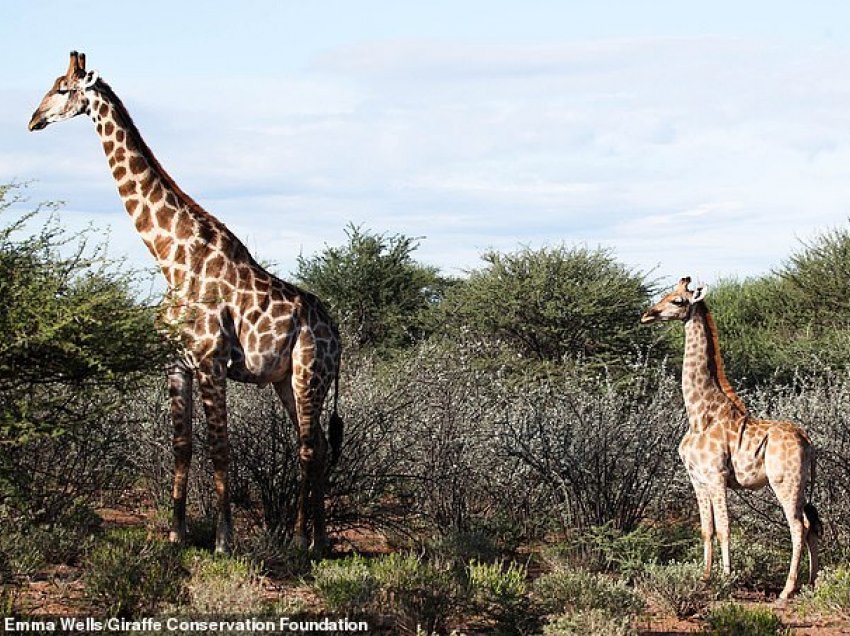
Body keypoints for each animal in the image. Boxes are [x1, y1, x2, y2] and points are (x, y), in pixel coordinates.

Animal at [29, 52, 342, 556]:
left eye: (61, 89)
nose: (33, 120)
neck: (170, 259)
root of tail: (338, 333)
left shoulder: (211, 362)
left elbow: (220, 448)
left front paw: (223, 540)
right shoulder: (176, 363)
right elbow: (182, 445)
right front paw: (176, 533)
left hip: (309, 373)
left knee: (309, 447)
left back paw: (300, 539)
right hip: (285, 380)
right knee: (314, 446)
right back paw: (319, 540)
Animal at [644, 276, 816, 600]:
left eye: (677, 300)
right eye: (666, 294)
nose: (648, 314)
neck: (699, 414)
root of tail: (806, 440)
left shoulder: (716, 476)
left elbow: (724, 528)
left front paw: (725, 580)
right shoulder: (697, 478)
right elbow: (706, 529)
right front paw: (704, 578)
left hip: (785, 482)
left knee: (798, 526)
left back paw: (787, 590)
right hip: (800, 485)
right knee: (812, 523)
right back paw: (812, 583)